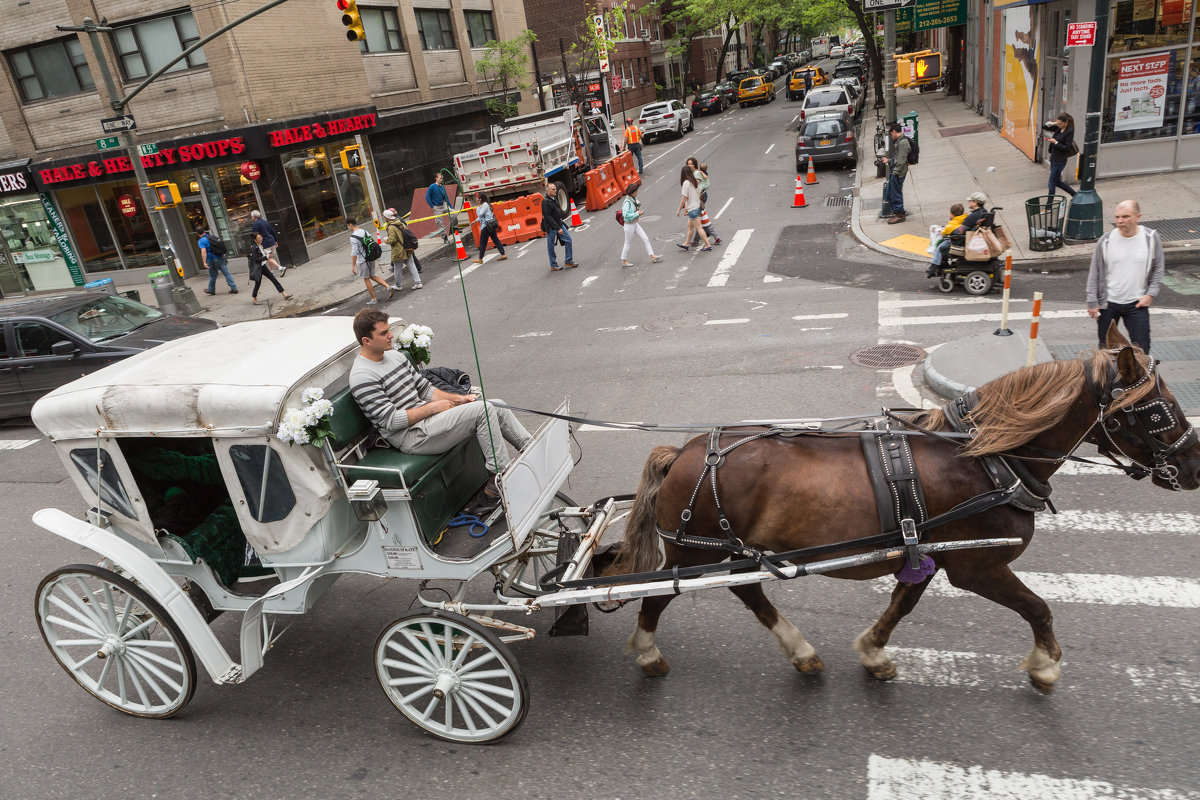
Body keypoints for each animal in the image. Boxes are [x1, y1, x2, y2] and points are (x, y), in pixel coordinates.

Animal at [609, 328, 1200, 690]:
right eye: (1157, 411)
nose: (1194, 465)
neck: (989, 458)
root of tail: (683, 451)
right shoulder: (978, 563)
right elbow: (1038, 608)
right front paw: (1046, 667)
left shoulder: (930, 550)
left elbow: (902, 604)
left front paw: (873, 652)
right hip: (694, 548)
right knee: (662, 593)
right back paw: (648, 652)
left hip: (728, 550)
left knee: (745, 591)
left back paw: (800, 651)